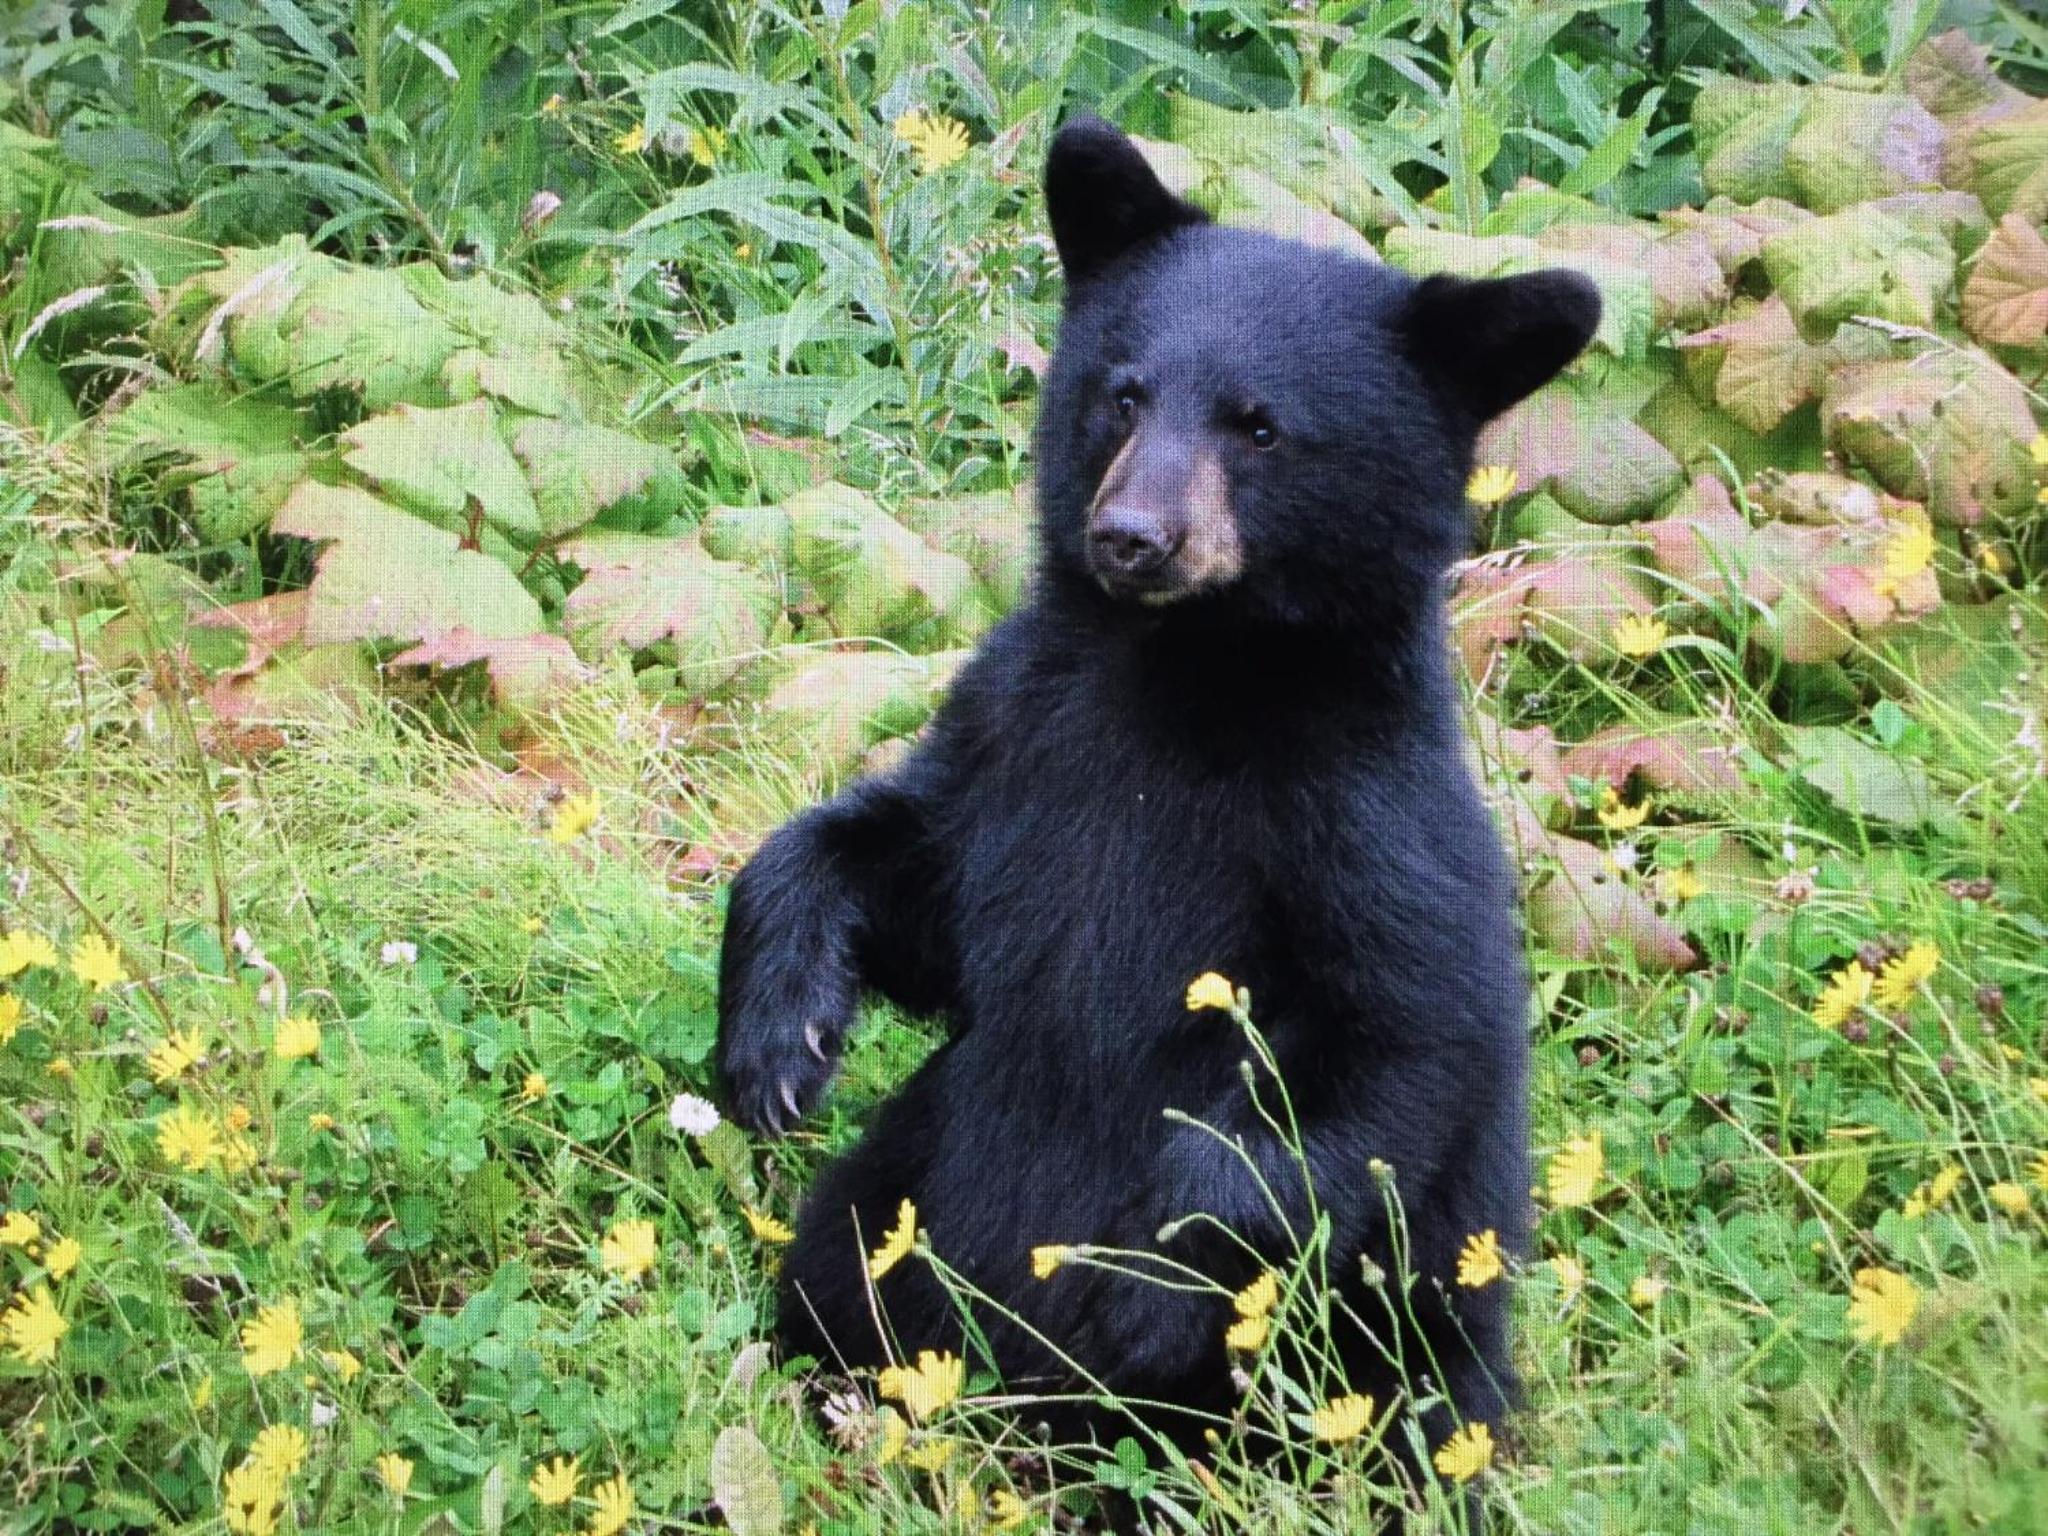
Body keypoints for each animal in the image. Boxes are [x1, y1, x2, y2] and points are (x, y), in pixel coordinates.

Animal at [716, 111, 1599, 1502]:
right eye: (1123, 393)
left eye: (1259, 428)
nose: (1131, 536)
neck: (1181, 672)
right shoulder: (1022, 728)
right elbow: (915, 880)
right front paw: (776, 1040)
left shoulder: (1364, 820)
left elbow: (1395, 1052)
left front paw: (1135, 1288)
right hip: (903, 1177)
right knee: (838, 1254)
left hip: (1406, 1328)